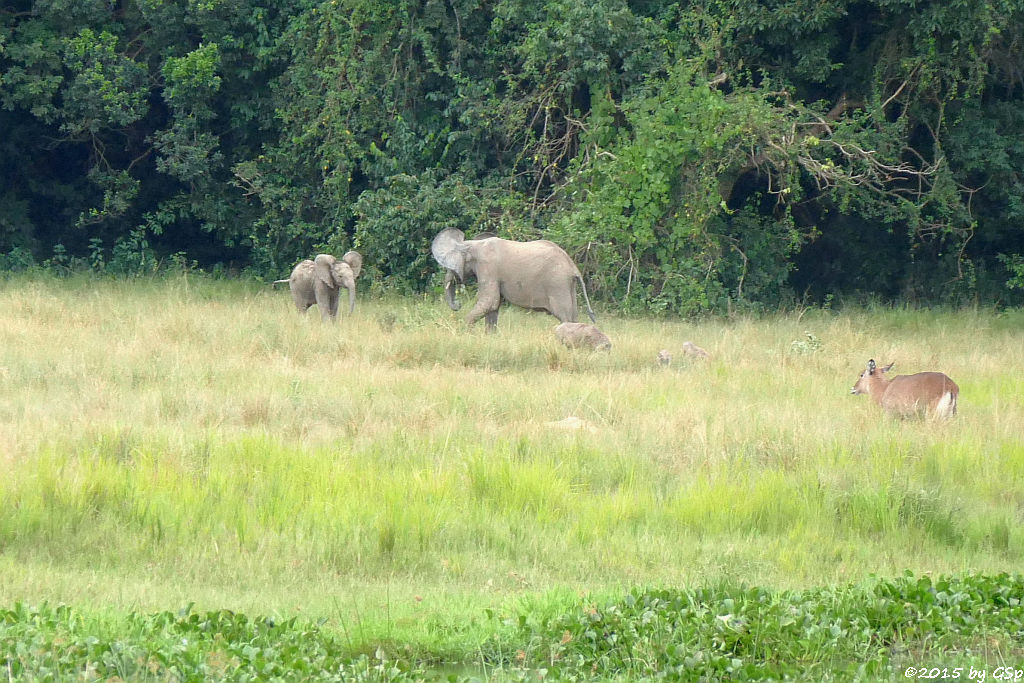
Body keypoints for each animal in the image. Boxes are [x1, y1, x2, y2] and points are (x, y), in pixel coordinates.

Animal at [430, 228, 593, 331]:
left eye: (451, 267)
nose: (458, 304)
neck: (473, 245)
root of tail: (573, 267)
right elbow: (493, 306)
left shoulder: (488, 267)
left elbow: (489, 301)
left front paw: (467, 332)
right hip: (568, 285)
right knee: (573, 316)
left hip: (557, 284)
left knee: (564, 316)